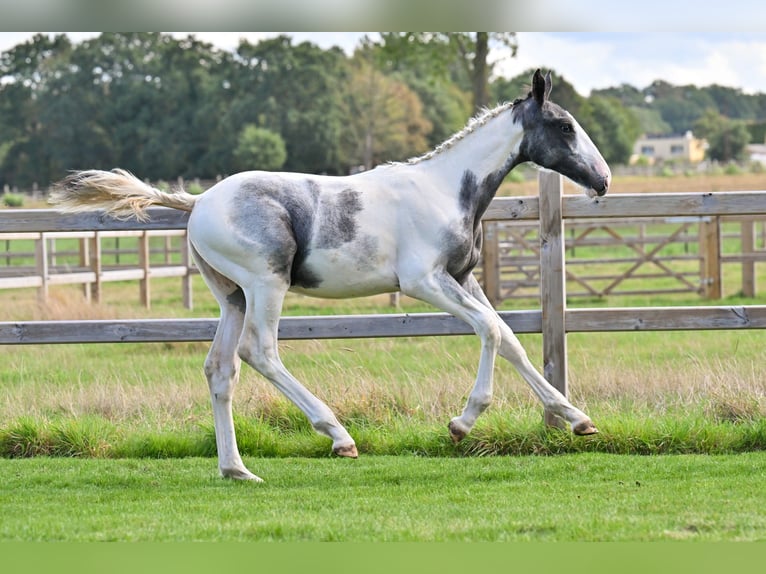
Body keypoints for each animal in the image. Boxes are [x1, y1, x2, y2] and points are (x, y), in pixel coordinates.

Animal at [51, 69, 611, 481]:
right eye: (564, 127)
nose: (603, 180)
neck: (447, 190)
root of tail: (198, 202)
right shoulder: (424, 282)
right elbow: (491, 330)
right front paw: (460, 424)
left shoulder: (463, 279)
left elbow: (510, 339)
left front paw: (578, 420)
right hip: (266, 285)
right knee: (260, 352)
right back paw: (339, 436)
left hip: (233, 297)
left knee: (219, 368)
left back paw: (237, 470)